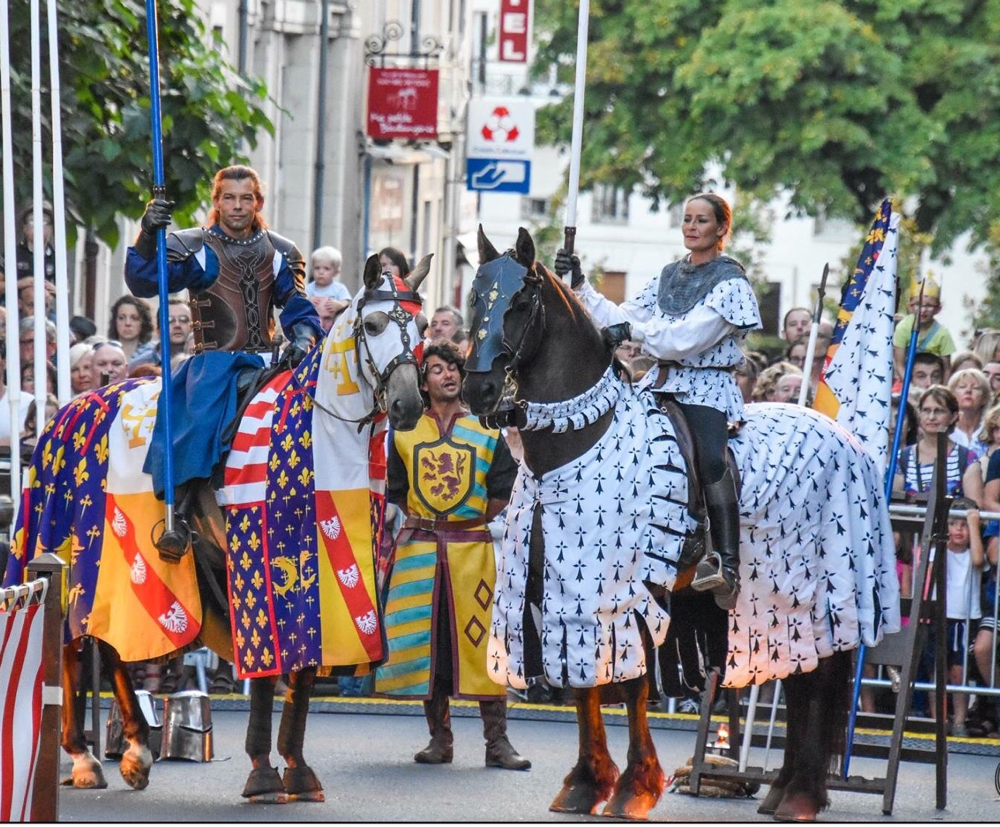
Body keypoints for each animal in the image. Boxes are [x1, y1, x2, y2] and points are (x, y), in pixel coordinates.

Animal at [6, 258, 430, 804]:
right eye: (373, 325)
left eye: (423, 327)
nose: (408, 405)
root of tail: (70, 407)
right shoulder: (257, 565)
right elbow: (268, 667)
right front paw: (263, 772)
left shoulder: (328, 575)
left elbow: (304, 669)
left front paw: (296, 767)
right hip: (71, 558)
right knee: (70, 644)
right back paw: (83, 757)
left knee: (114, 648)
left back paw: (135, 753)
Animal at [464, 228, 904, 820]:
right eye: (475, 297)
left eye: (520, 303)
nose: (479, 391)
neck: (581, 439)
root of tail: (850, 439)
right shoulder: (564, 597)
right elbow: (584, 684)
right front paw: (586, 783)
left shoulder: (623, 594)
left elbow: (630, 686)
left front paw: (633, 786)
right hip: (781, 607)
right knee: (800, 680)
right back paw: (785, 790)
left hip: (830, 593)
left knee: (817, 681)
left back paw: (800, 796)